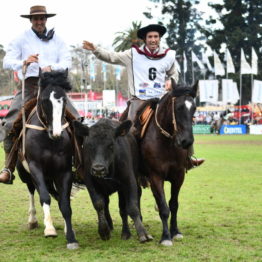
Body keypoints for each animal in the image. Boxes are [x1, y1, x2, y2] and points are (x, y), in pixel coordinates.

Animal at [15, 70, 78, 250]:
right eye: (44, 100)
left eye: (64, 99)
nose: (56, 132)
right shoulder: (35, 167)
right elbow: (44, 196)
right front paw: (49, 229)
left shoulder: (64, 171)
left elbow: (64, 202)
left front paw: (70, 235)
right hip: (25, 174)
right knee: (32, 190)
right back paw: (33, 220)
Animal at [132, 79, 198, 246]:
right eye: (178, 107)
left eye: (194, 108)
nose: (187, 141)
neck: (166, 141)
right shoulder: (156, 177)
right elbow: (163, 207)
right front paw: (166, 237)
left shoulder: (179, 176)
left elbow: (173, 205)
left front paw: (175, 232)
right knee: (137, 194)